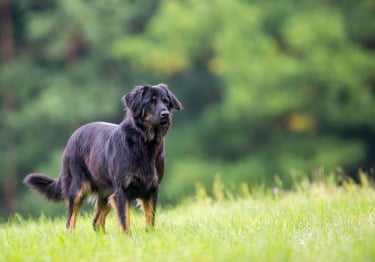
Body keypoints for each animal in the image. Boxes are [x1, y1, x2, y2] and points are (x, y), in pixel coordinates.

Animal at [23, 84, 182, 233]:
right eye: (151, 101)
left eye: (166, 101)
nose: (165, 114)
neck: (144, 141)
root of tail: (72, 137)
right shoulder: (121, 191)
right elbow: (125, 221)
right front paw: (128, 239)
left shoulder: (151, 188)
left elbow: (150, 220)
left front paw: (149, 236)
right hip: (78, 189)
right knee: (70, 223)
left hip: (106, 193)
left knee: (96, 223)